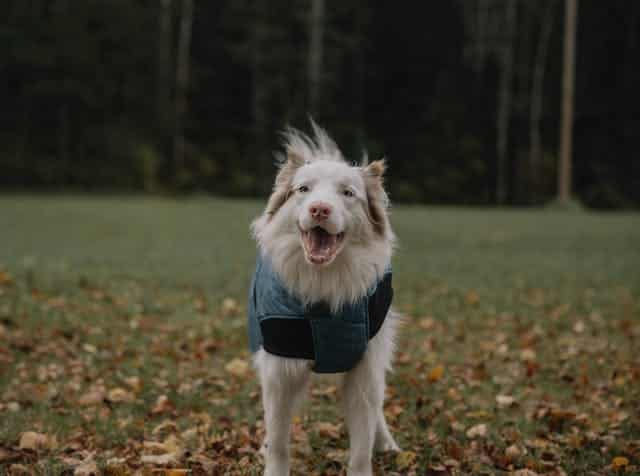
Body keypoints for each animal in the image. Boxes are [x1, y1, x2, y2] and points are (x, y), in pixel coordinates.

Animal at [248, 123, 398, 476]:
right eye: (303, 189)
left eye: (348, 193)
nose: (320, 208)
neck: (324, 283)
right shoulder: (279, 367)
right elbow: (279, 440)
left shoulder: (364, 367)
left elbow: (361, 446)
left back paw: (386, 442)